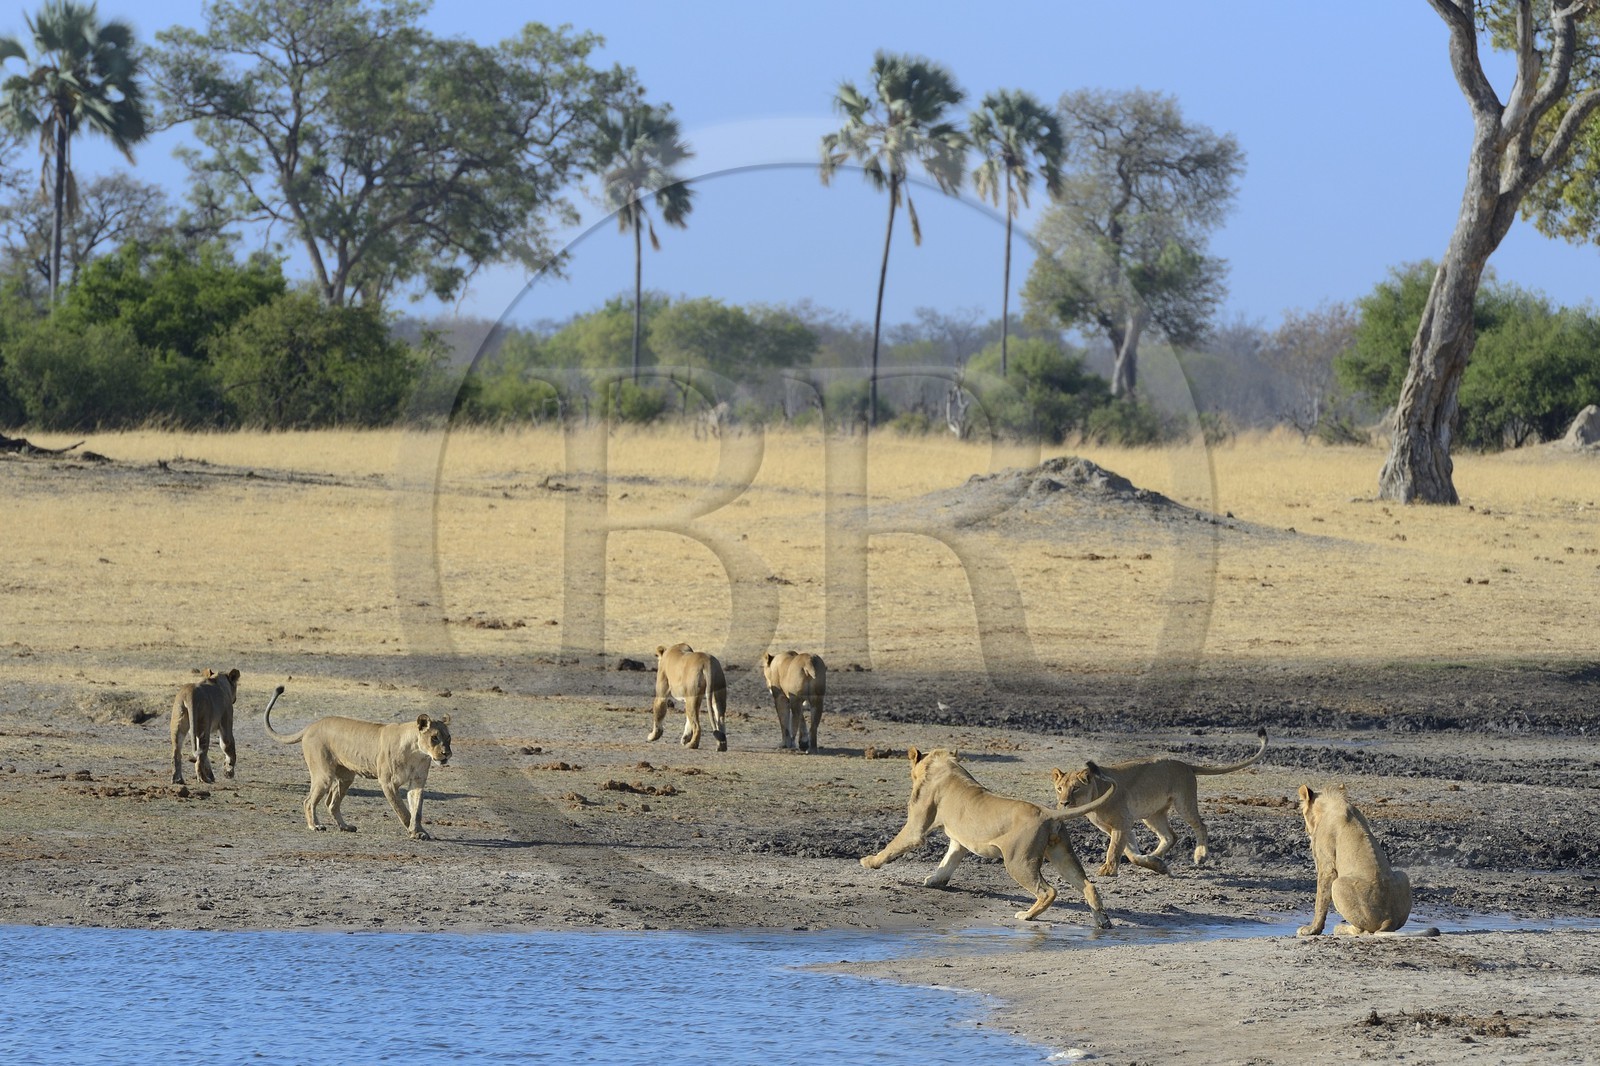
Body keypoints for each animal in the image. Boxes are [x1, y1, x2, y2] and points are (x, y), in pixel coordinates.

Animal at [262, 685, 452, 840]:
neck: (417, 752)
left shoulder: (418, 782)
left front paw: (420, 831)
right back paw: (315, 825)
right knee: (309, 801)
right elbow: (402, 810)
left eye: (449, 738)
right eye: (434, 738)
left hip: (346, 778)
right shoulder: (388, 782)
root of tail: (311, 726)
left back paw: (345, 827)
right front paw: (413, 832)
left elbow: (416, 810)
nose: (447, 754)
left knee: (331, 803)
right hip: (323, 775)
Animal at [861, 747, 1117, 925]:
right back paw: (1102, 921)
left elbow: (893, 845)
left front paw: (868, 861)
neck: (945, 766)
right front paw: (935, 881)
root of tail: (1047, 812)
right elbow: (947, 862)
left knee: (1048, 891)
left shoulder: (917, 828)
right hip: (1061, 854)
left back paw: (1027, 915)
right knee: (1088, 885)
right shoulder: (959, 842)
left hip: (1018, 861)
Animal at [1052, 728, 1268, 876]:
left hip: (1184, 802)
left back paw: (1200, 855)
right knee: (1170, 836)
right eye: (1059, 788)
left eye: (1076, 788)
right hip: (1152, 814)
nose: (1063, 803)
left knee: (1201, 826)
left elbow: (1114, 849)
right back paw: (1156, 856)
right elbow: (1130, 852)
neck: (1095, 798)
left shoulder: (1122, 822)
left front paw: (1108, 870)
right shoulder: (1116, 826)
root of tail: (1184, 764)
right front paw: (1155, 864)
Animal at [1296, 784, 1436, 936]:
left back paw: (1340, 928)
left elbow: (1320, 900)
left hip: (1338, 884)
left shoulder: (1326, 866)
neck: (1334, 804)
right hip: (1402, 875)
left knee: (1361, 930)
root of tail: (1389, 920)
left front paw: (1311, 929)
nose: (1305, 829)